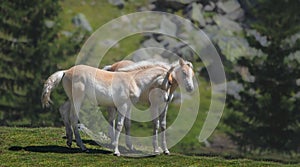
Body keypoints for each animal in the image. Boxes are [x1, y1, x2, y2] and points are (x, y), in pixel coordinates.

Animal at [41, 58, 195, 155]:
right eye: (170, 82)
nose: (167, 98)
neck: (134, 81)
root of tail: (66, 71)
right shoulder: (125, 105)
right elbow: (121, 125)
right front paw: (117, 151)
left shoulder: (128, 106)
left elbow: (125, 124)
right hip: (78, 100)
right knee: (73, 118)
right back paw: (82, 146)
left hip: (72, 99)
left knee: (63, 110)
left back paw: (69, 140)